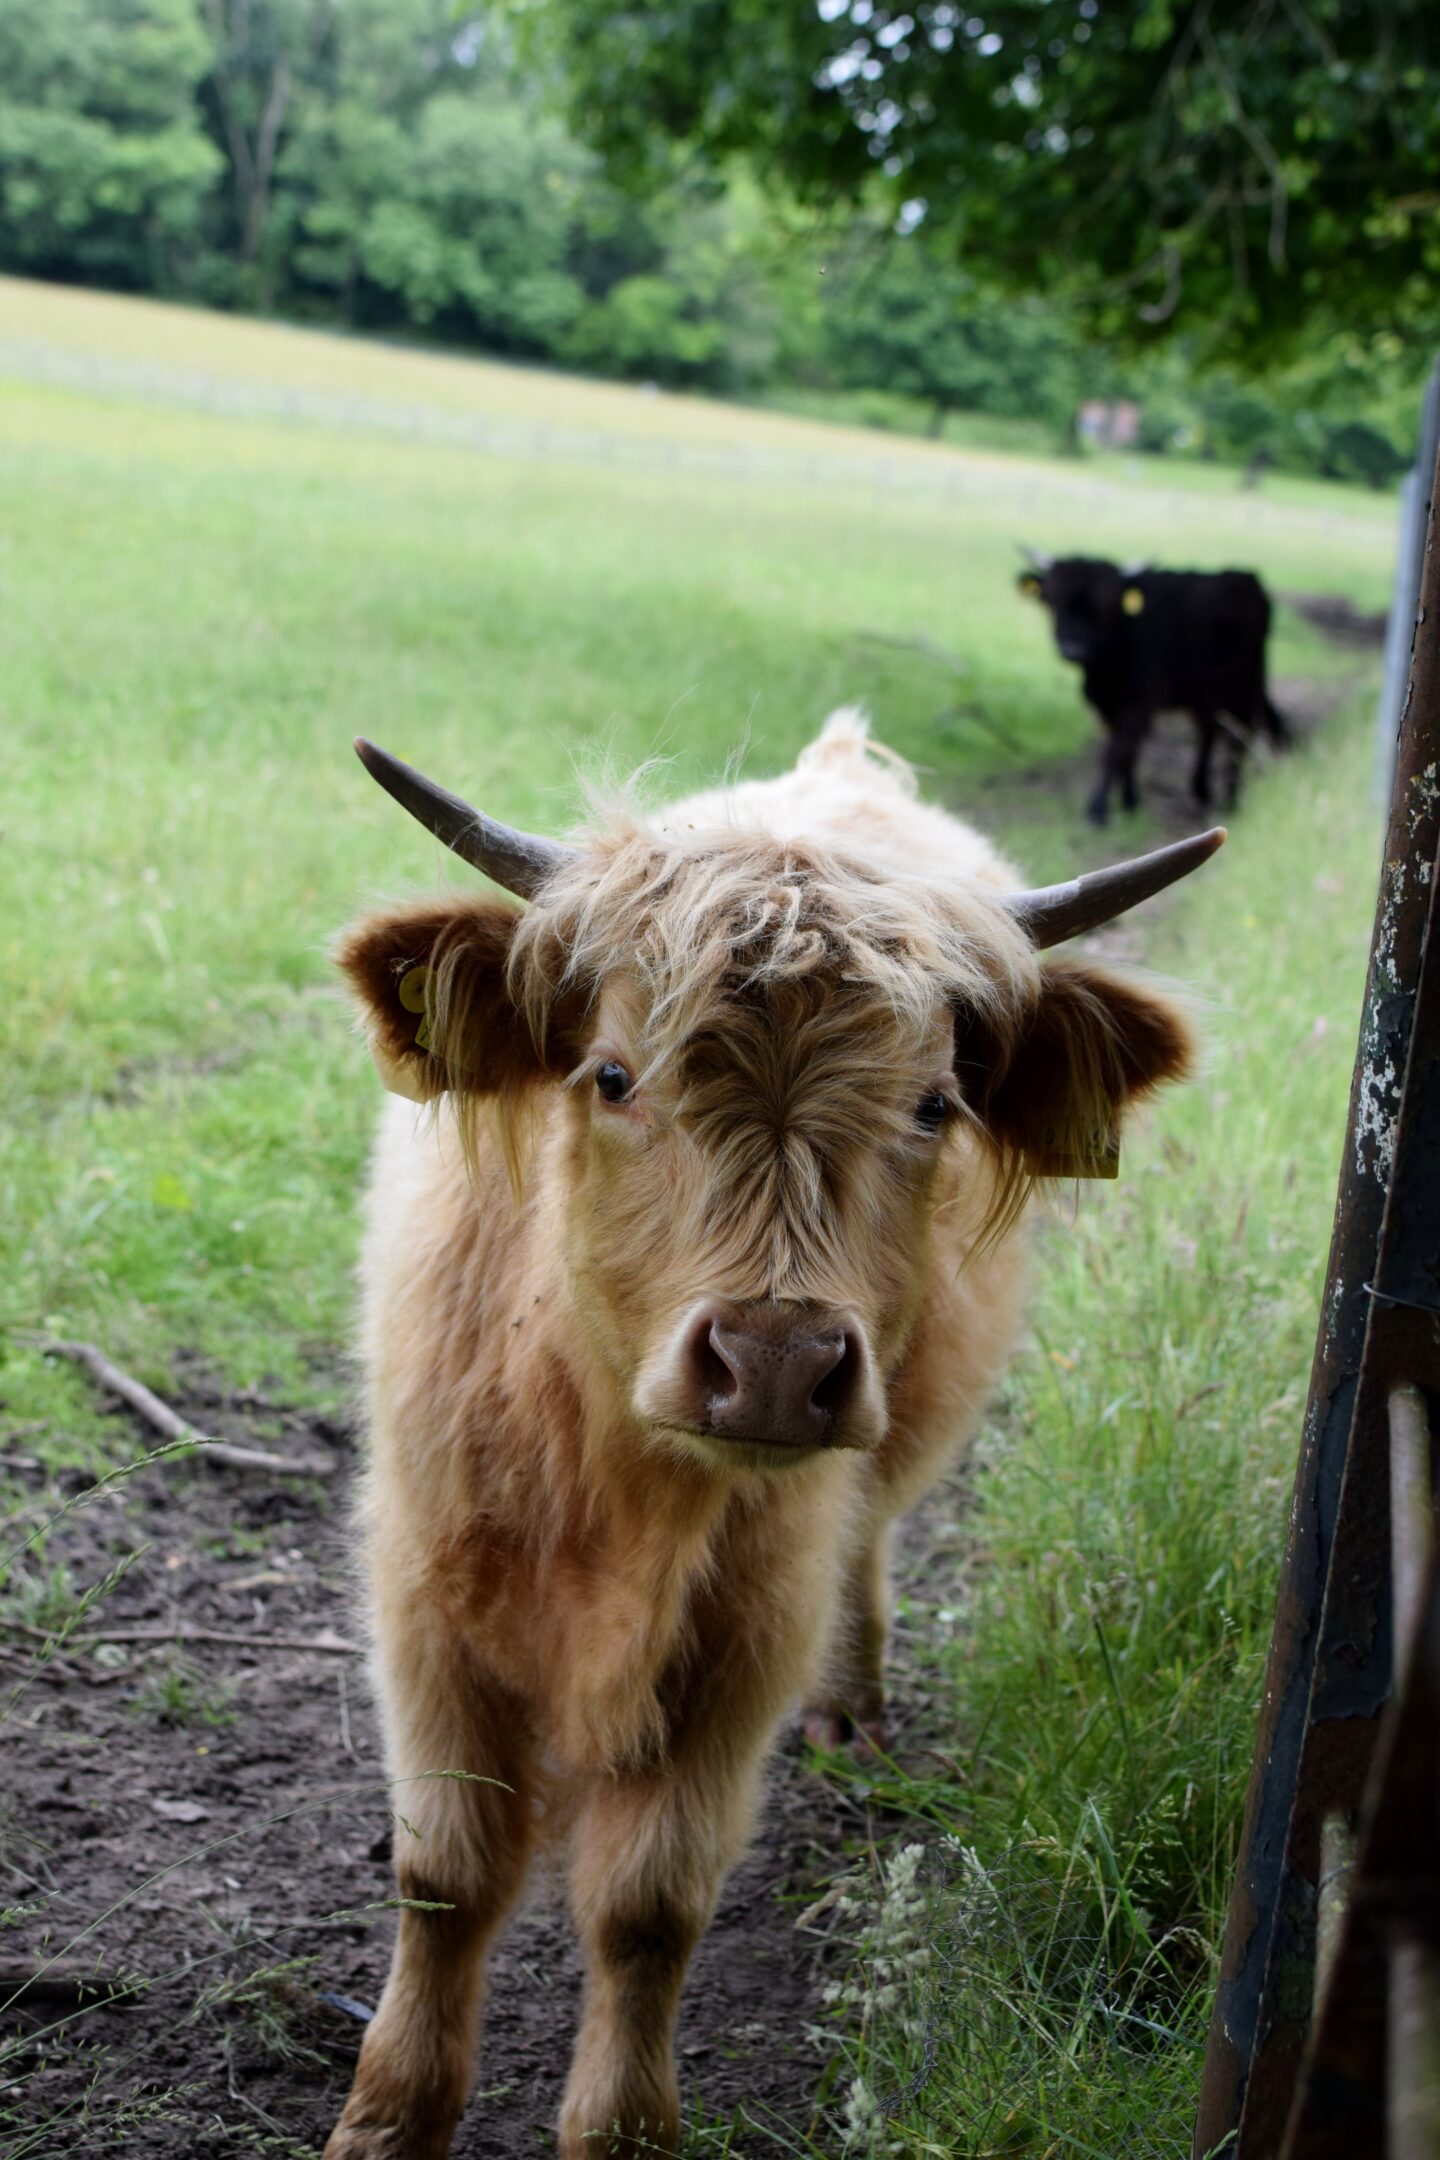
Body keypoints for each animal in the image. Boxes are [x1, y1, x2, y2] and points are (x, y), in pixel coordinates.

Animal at [323, 713, 1221, 2160]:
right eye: (613, 1075)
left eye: (933, 1106)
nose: (777, 1365)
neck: (604, 1460)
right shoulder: (425, 1594)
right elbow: (444, 1872)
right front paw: (388, 2120)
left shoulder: (740, 1631)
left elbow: (649, 1906)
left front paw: (624, 2128)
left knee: (869, 1539)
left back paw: (851, 1706)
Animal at [1018, 554, 1289, 825]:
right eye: (1054, 600)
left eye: (1105, 606)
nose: (1072, 650)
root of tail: (1247, 578)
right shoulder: (1108, 703)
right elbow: (1128, 752)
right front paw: (1129, 802)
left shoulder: (1139, 698)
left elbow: (1116, 752)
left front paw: (1097, 808)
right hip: (1207, 693)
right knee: (1209, 731)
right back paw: (1201, 789)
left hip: (1242, 687)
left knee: (1239, 738)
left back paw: (1231, 801)